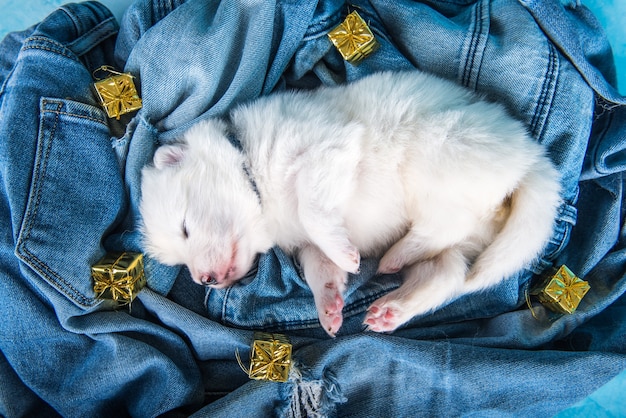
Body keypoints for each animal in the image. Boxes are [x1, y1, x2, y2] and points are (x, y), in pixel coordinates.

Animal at [139, 71, 560, 336]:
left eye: (185, 227)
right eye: (179, 259)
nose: (203, 280)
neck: (252, 167)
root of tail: (531, 157)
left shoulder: (325, 148)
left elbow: (313, 210)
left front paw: (346, 255)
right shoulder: (306, 243)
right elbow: (319, 267)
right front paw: (328, 305)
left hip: (437, 152)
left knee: (445, 224)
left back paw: (395, 256)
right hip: (459, 233)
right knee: (445, 273)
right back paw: (393, 303)